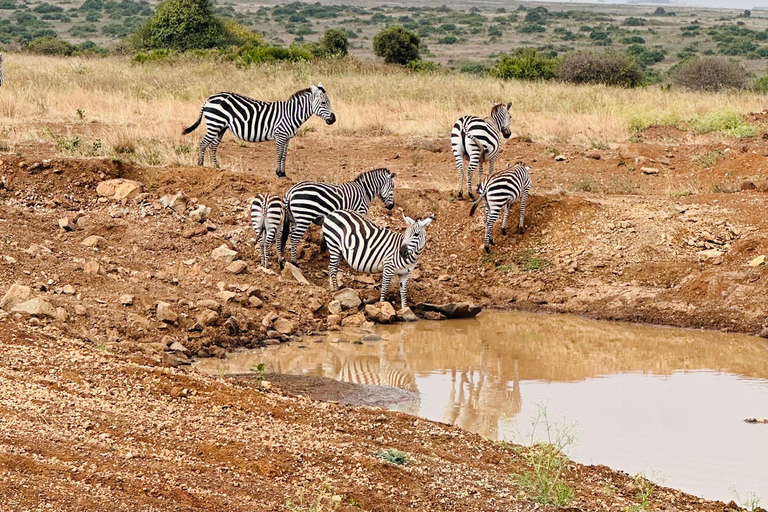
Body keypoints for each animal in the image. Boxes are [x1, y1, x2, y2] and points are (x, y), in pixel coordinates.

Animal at [183, 82, 336, 174]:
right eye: (323, 102)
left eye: (328, 102)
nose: (333, 119)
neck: (291, 114)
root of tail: (209, 98)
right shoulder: (280, 135)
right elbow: (279, 154)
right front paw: (278, 173)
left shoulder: (287, 137)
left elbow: (284, 155)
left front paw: (283, 173)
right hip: (214, 124)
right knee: (203, 144)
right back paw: (201, 166)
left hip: (221, 127)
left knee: (213, 146)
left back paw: (217, 167)